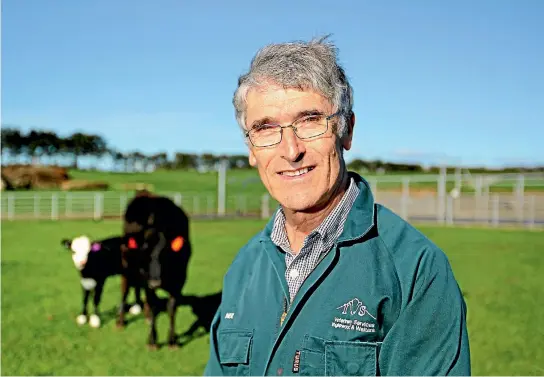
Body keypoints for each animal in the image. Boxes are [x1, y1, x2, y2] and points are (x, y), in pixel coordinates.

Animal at [121, 192, 193, 348]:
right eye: (144, 253)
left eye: (165, 253)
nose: (155, 283)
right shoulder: (146, 279)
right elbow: (153, 304)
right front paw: (152, 340)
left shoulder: (180, 280)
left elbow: (172, 307)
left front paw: (172, 341)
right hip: (126, 267)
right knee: (125, 290)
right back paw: (120, 321)